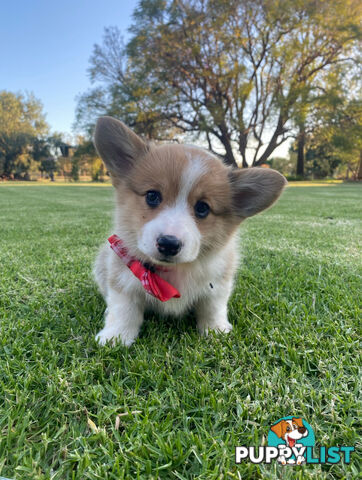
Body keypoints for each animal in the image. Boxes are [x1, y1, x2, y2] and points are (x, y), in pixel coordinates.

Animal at [92, 118, 286, 346]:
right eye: (152, 196)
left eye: (202, 208)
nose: (168, 243)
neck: (175, 271)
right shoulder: (123, 281)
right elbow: (123, 311)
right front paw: (115, 337)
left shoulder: (218, 284)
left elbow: (213, 308)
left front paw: (216, 331)